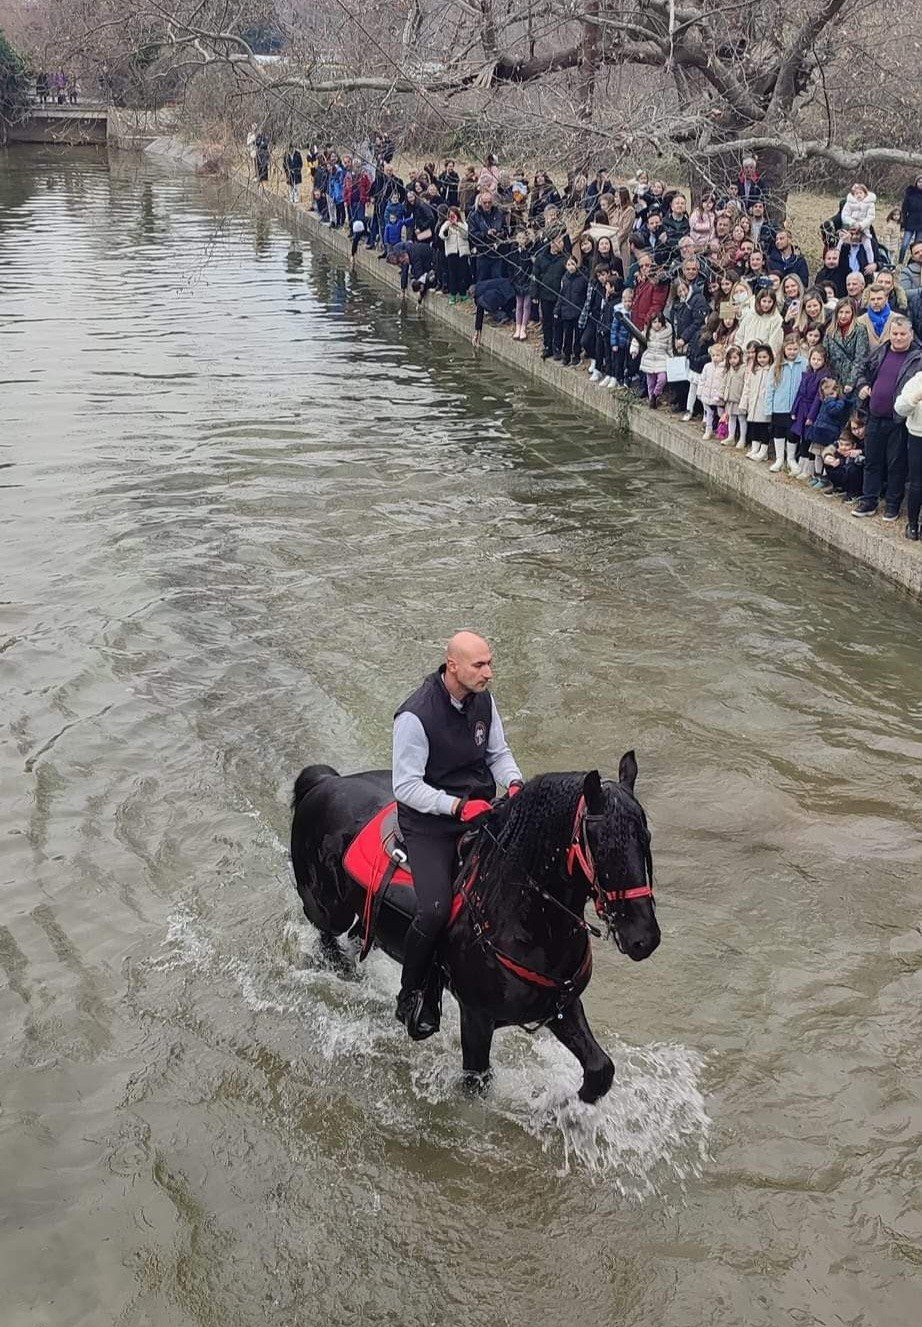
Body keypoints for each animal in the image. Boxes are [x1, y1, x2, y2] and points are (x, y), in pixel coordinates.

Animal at [291, 753, 660, 1104]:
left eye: (645, 837)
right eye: (602, 848)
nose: (644, 939)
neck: (522, 919)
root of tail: (326, 782)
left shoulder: (562, 1006)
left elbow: (600, 1069)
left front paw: (562, 1105)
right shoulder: (476, 1017)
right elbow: (476, 1084)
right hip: (329, 910)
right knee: (327, 937)